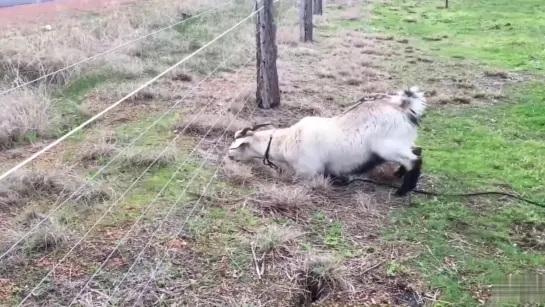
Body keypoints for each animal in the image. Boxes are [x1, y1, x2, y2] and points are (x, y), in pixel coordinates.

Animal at [227, 86, 428, 197]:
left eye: (234, 148)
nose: (228, 157)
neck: (286, 141)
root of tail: (404, 106)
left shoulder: (308, 171)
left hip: (387, 147)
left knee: (414, 159)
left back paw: (402, 191)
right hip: (402, 142)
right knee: (417, 150)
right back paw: (398, 175)